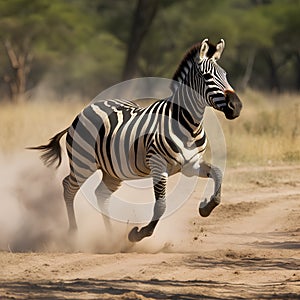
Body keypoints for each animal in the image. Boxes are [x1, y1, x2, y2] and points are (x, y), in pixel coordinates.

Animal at [29, 38, 241, 243]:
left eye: (225, 75)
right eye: (207, 77)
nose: (236, 106)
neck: (188, 125)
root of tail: (83, 111)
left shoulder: (191, 165)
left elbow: (218, 173)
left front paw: (206, 207)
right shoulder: (158, 165)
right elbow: (161, 205)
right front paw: (139, 233)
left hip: (112, 171)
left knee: (101, 195)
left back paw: (110, 237)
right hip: (83, 163)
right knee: (68, 187)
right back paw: (74, 233)